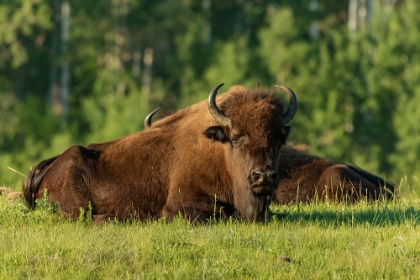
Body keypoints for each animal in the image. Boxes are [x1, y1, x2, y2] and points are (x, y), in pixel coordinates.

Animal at [23, 83, 298, 223]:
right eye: (237, 137)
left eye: (279, 138)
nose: (264, 176)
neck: (219, 154)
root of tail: (52, 165)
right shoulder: (181, 205)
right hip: (76, 204)